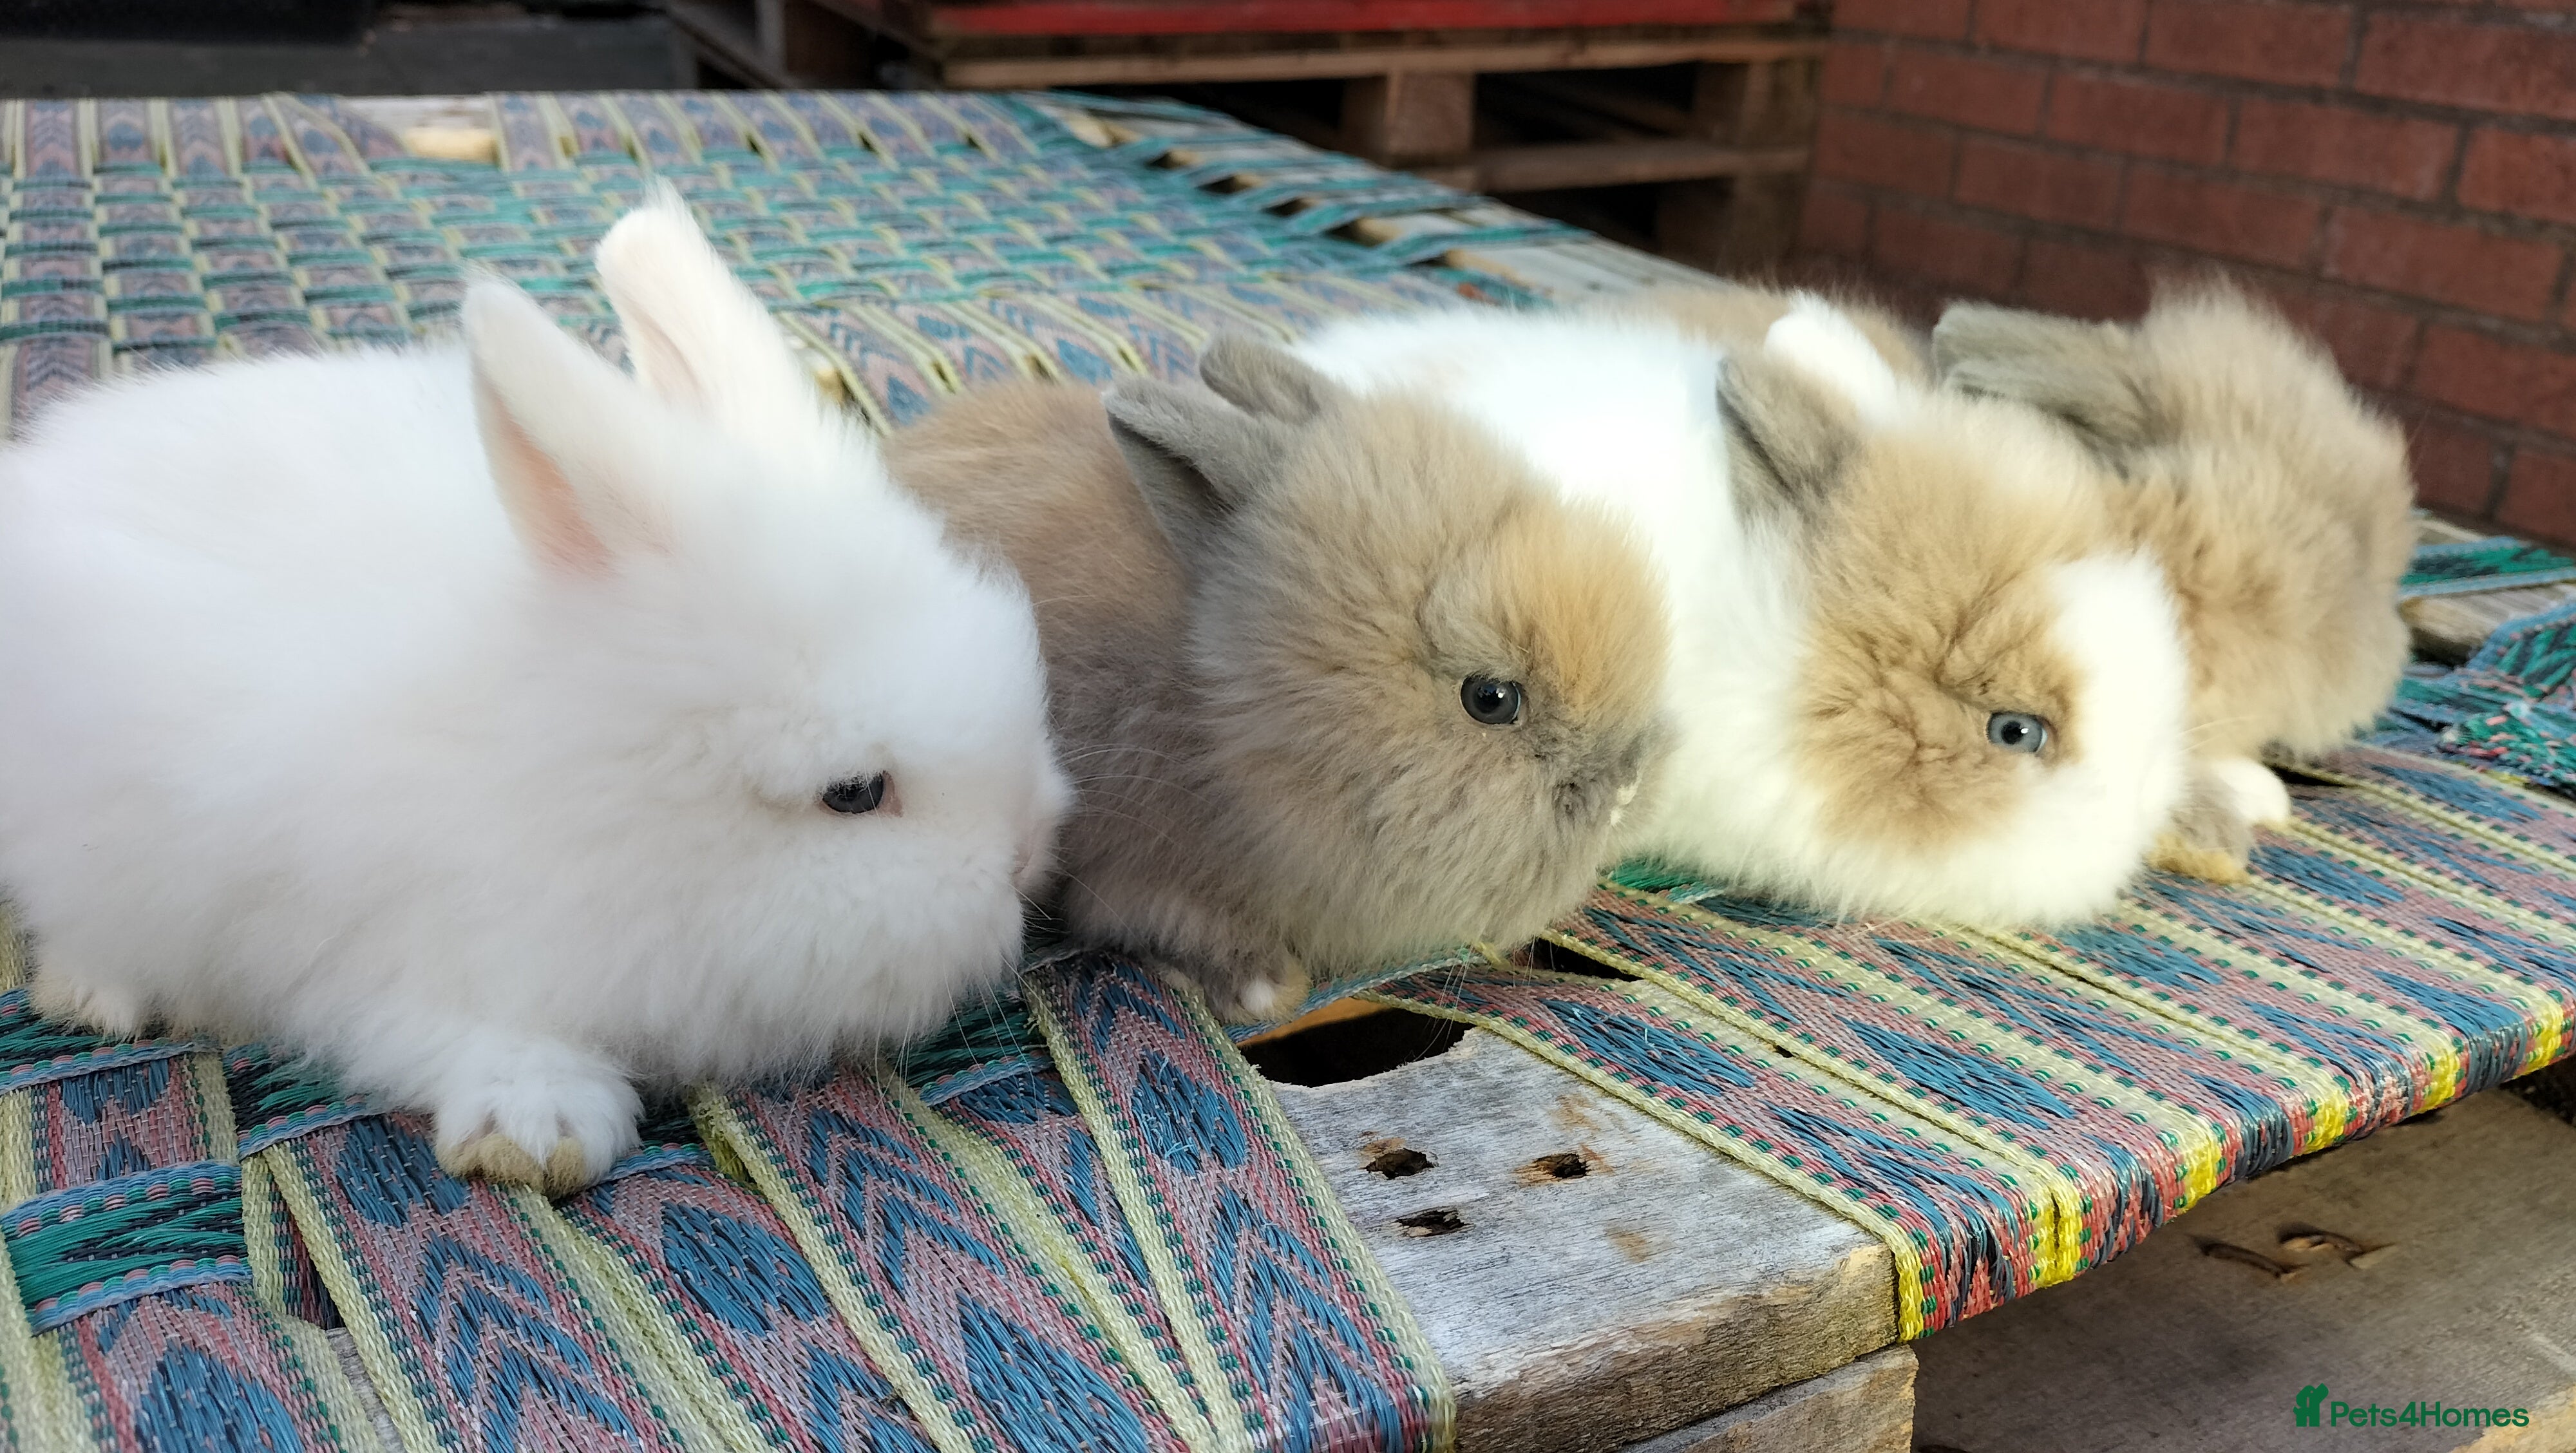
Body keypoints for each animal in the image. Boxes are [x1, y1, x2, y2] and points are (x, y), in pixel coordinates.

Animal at [0, 192, 1069, 1193]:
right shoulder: (381, 957)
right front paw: (539, 1131)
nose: (1022, 858)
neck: (584, 782)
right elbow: (462, 1036)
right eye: (853, 794)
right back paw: (94, 997)